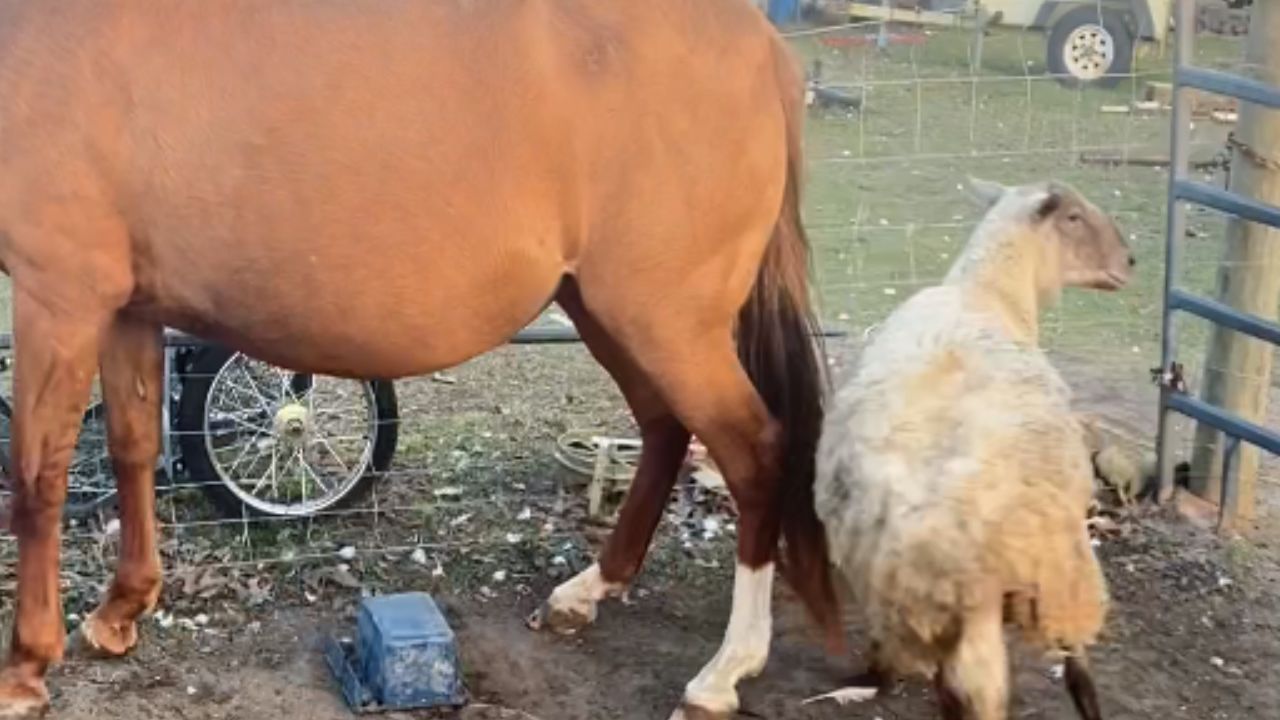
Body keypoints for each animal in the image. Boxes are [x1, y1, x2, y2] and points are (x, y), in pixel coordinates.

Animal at [0, 1, 841, 718]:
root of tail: (761, 46)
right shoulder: (124, 306)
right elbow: (133, 446)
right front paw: (120, 613)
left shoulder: (59, 296)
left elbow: (37, 477)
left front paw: (25, 667)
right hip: (608, 311)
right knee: (666, 428)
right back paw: (589, 591)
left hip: (667, 320)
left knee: (756, 453)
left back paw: (723, 673)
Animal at [814, 177, 1135, 720]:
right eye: (1073, 217)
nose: (1130, 262)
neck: (988, 290)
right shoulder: (1060, 564)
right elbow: (1077, 665)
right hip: (1011, 591)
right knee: (990, 689)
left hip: (903, 594)